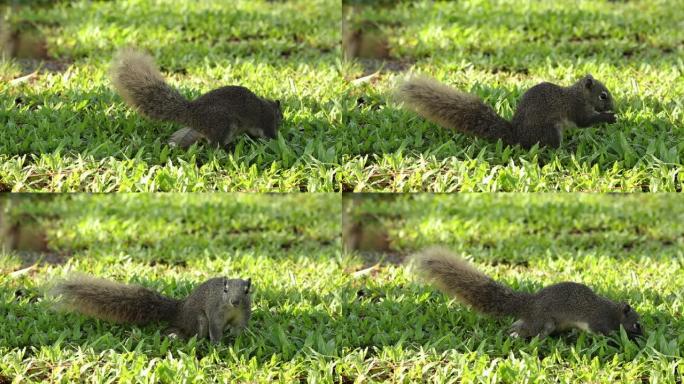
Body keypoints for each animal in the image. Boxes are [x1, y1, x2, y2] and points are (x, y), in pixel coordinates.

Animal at [50, 274, 252, 344]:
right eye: (225, 290)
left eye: (247, 290)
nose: (235, 301)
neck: (232, 311)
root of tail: (180, 309)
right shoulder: (216, 314)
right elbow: (215, 330)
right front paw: (218, 346)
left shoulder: (243, 315)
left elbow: (239, 329)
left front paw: (239, 341)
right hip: (198, 320)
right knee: (192, 332)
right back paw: (178, 337)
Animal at [111, 48, 282, 148]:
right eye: (281, 116)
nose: (282, 123)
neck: (268, 106)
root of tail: (192, 113)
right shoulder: (267, 122)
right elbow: (269, 135)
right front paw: (277, 140)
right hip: (223, 125)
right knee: (214, 145)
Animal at [392, 73, 616, 148]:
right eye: (603, 96)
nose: (614, 107)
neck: (580, 94)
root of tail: (518, 135)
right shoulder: (576, 107)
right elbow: (585, 121)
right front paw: (609, 117)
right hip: (550, 130)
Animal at [414, 246, 644, 340]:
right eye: (636, 324)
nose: (643, 335)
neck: (612, 312)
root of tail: (529, 304)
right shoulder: (598, 322)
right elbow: (602, 333)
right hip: (542, 321)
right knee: (532, 329)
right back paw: (521, 337)